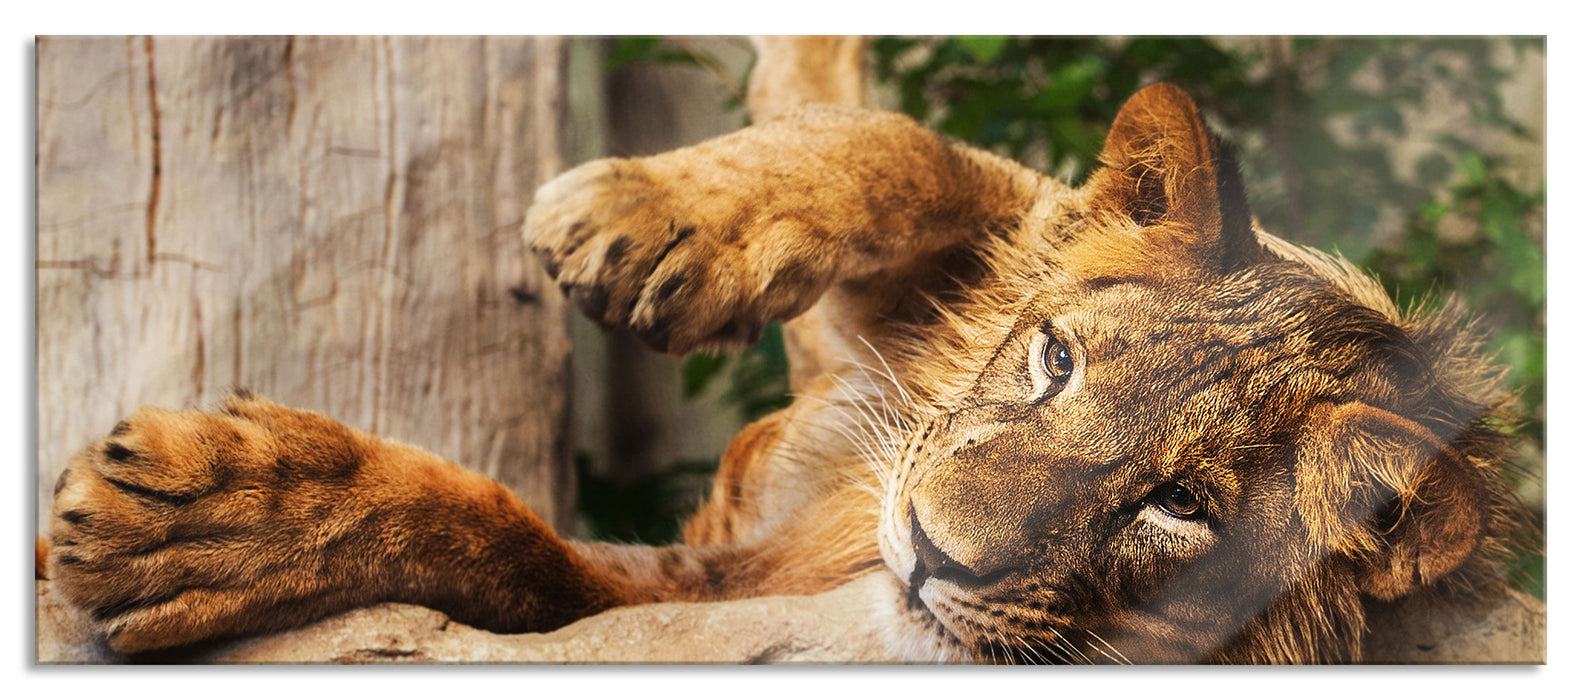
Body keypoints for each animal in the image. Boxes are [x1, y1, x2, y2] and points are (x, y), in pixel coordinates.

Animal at [45, 36, 1528, 663]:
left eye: (1178, 509)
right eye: (1053, 362)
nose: (928, 552)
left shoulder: (719, 593)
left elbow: (521, 554)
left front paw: (201, 526)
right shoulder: (982, 247)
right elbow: (898, 146)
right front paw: (640, 225)